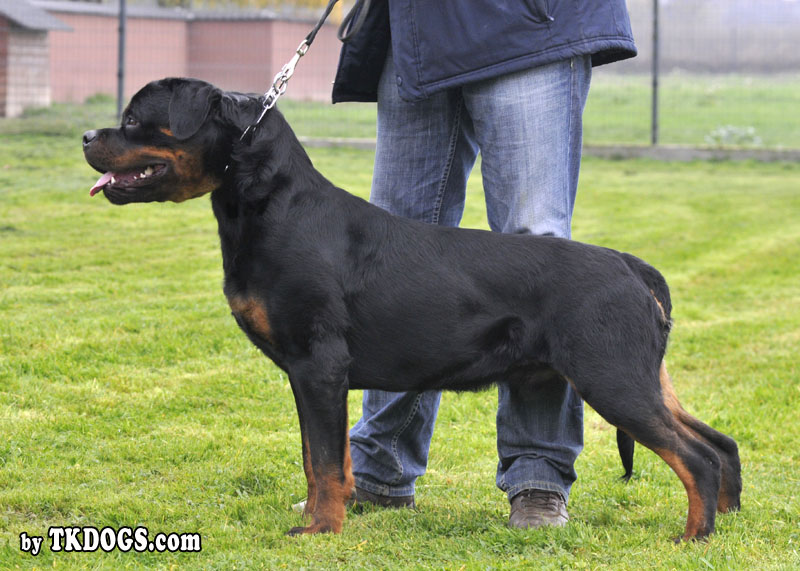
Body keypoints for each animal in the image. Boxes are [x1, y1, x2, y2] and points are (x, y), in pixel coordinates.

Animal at [84, 77, 740, 540]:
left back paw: (693, 537)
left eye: (136, 120)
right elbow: (319, 459)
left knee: (695, 457)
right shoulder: (309, 376)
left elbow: (326, 462)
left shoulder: (319, 366)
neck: (275, 209)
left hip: (610, 376)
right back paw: (729, 521)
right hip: (643, 375)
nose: (87, 138)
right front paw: (329, 515)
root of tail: (630, 265)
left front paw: (320, 530)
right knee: (720, 442)